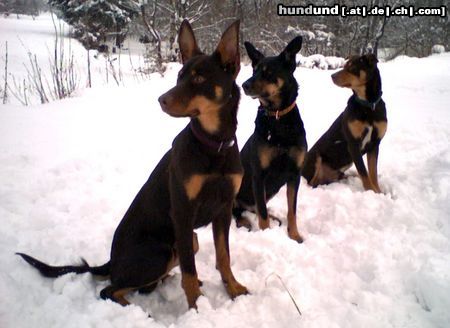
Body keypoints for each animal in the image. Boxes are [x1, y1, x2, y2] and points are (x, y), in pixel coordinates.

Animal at [16, 19, 250, 310]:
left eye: (198, 78)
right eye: (179, 76)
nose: (161, 100)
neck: (213, 145)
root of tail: (111, 262)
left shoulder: (224, 208)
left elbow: (223, 257)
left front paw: (234, 288)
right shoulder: (183, 212)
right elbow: (189, 270)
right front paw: (196, 307)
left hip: (183, 243)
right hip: (162, 251)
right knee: (110, 290)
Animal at [232, 37, 306, 243]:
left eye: (268, 72)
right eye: (254, 70)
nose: (244, 85)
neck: (278, 117)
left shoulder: (294, 174)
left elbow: (292, 211)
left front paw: (295, 235)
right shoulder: (259, 175)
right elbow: (263, 215)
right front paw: (265, 236)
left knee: (253, 208)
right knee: (238, 211)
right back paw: (245, 222)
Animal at [302, 53, 386, 192]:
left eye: (352, 67)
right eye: (345, 64)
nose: (332, 75)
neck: (368, 106)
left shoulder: (375, 144)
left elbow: (372, 173)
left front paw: (378, 193)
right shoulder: (353, 143)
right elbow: (364, 173)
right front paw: (371, 192)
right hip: (316, 157)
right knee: (312, 182)